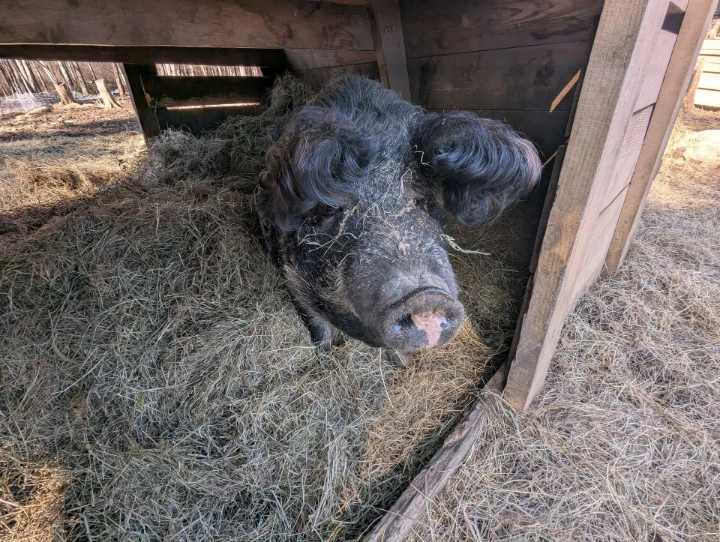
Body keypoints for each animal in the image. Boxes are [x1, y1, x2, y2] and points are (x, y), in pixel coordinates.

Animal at [257, 75, 541, 358]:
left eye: (421, 200)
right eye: (330, 209)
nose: (424, 296)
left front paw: (401, 362)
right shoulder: (290, 276)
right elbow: (317, 324)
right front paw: (324, 356)